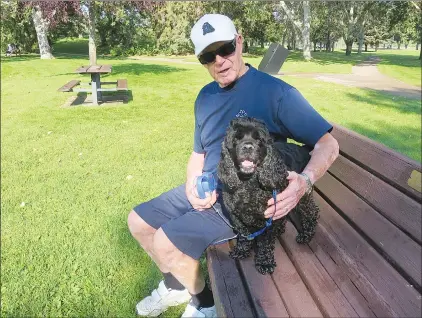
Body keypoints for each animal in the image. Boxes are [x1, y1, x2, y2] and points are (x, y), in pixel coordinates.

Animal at [218, 118, 320, 274]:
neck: (248, 183)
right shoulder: (236, 216)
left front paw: (265, 262)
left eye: (259, 139)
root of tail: (302, 148)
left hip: (302, 194)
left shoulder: (269, 217)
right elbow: (243, 235)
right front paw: (242, 251)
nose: (248, 147)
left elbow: (265, 243)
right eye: (236, 138)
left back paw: (306, 235)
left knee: (311, 212)